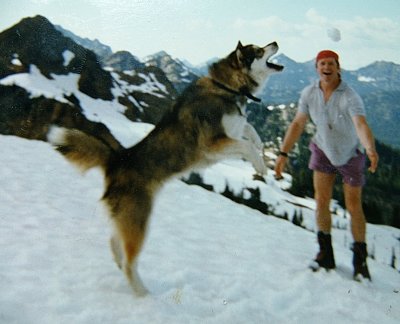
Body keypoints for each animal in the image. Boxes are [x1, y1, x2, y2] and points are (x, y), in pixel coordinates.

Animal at [47, 41, 284, 296]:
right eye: (259, 51)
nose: (275, 43)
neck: (226, 86)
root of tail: (117, 160)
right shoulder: (212, 144)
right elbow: (245, 144)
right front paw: (260, 165)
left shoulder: (227, 137)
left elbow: (249, 129)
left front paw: (260, 145)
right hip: (139, 220)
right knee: (130, 261)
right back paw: (143, 294)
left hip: (124, 218)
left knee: (114, 245)